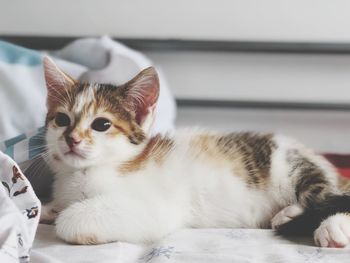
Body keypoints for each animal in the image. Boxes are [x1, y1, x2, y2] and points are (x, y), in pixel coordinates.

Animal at [40, 56, 350, 249]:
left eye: (101, 125)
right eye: (62, 120)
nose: (72, 139)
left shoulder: (155, 206)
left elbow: (72, 219)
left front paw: (64, 217)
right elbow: (55, 205)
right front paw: (46, 208)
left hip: (295, 167)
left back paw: (332, 228)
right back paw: (287, 214)